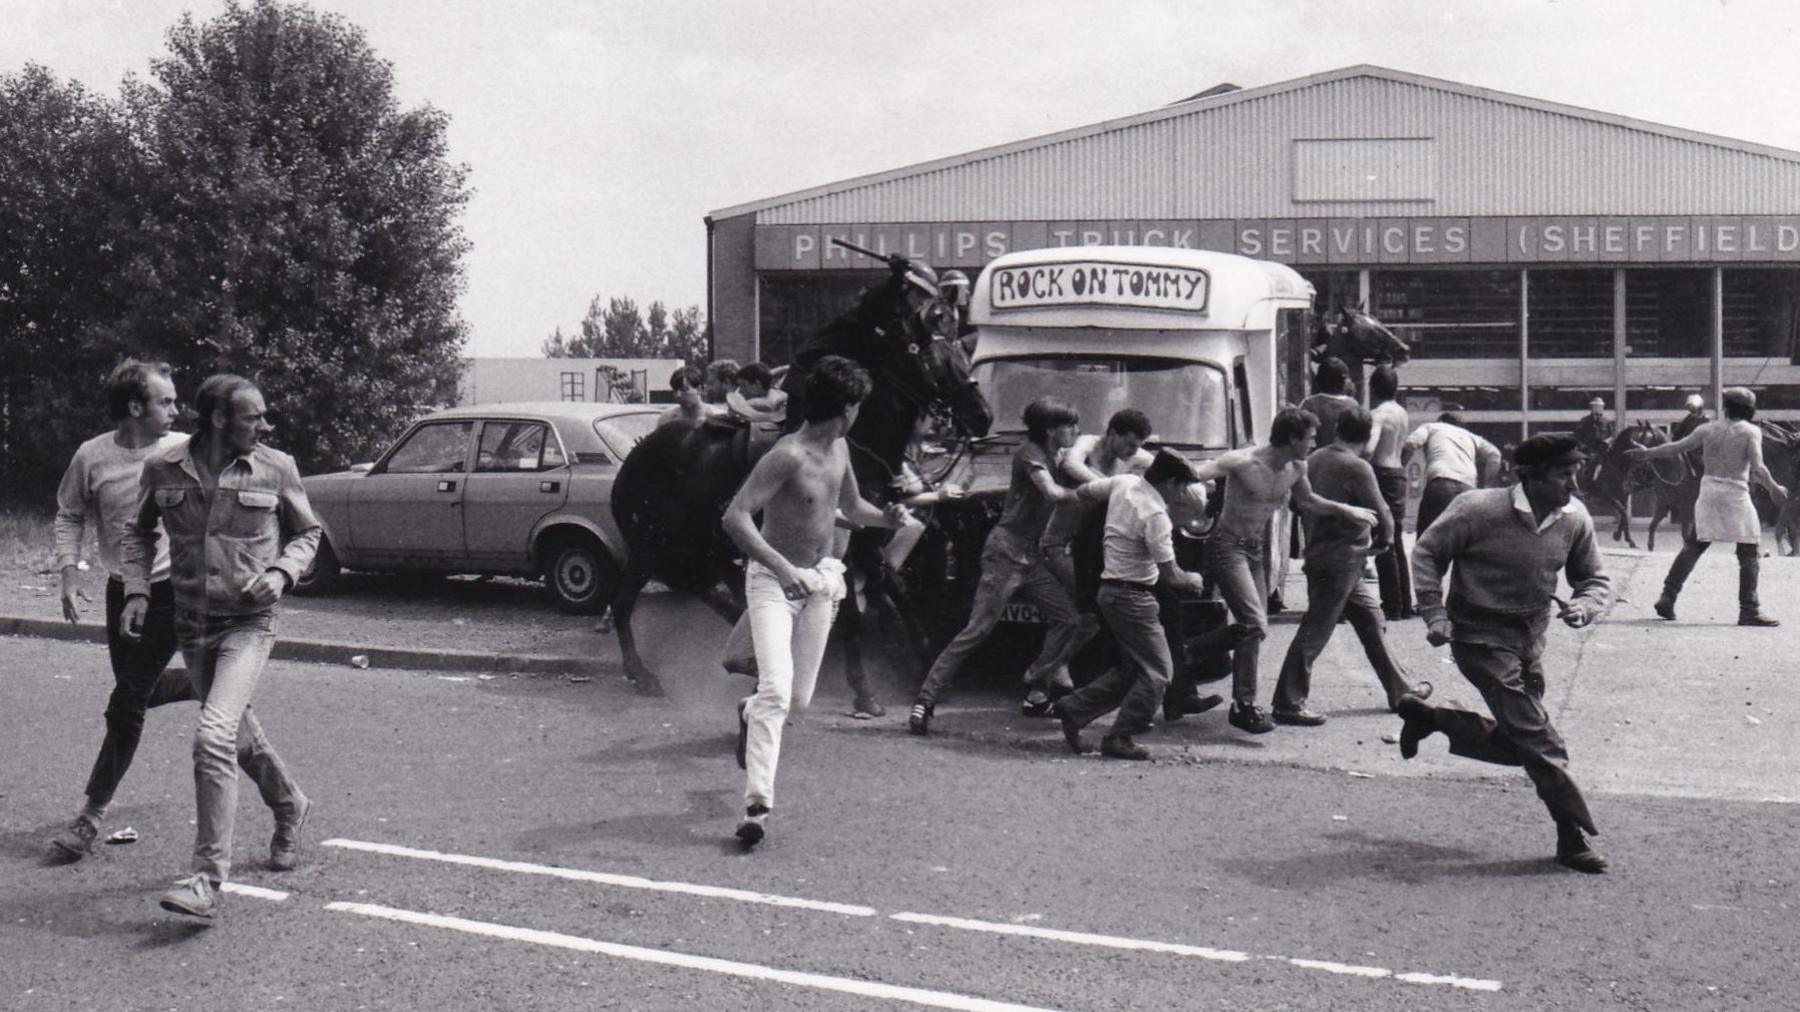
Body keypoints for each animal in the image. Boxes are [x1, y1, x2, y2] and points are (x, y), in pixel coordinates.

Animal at [612, 264, 993, 698]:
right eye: (935, 359)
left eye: (962, 351)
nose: (982, 415)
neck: (859, 442)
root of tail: (632, 457)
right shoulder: (843, 545)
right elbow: (852, 613)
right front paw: (863, 689)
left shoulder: (867, 540)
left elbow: (897, 590)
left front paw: (926, 661)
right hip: (651, 545)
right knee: (623, 603)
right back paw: (642, 672)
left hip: (698, 545)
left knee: (702, 587)